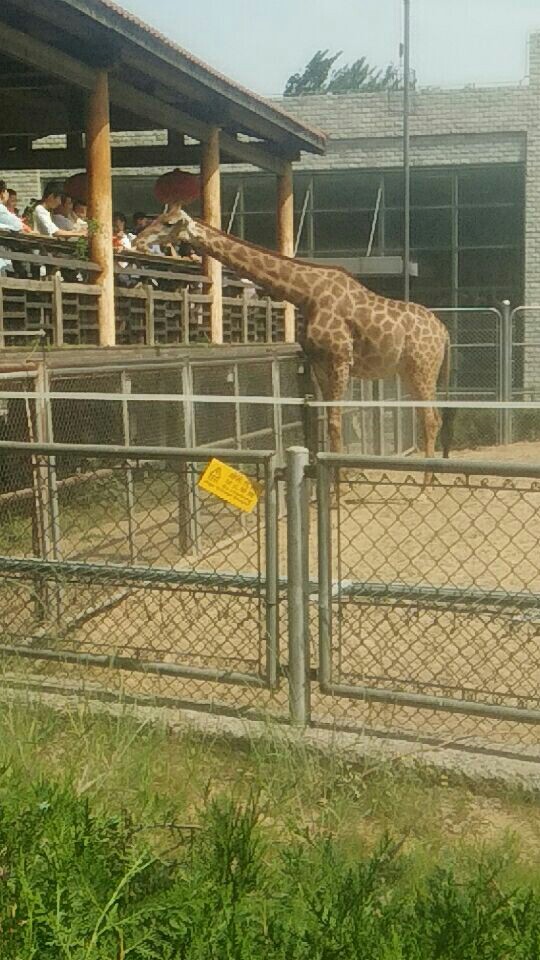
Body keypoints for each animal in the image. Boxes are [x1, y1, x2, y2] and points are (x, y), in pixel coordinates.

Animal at [136, 202, 452, 462]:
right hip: (409, 371)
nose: (139, 240)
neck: (306, 294)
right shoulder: (318, 362)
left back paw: (426, 487)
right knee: (430, 417)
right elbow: (326, 419)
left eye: (168, 222)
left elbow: (336, 421)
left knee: (431, 419)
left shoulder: (341, 359)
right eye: (157, 218)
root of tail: (445, 332)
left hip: (423, 368)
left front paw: (337, 490)